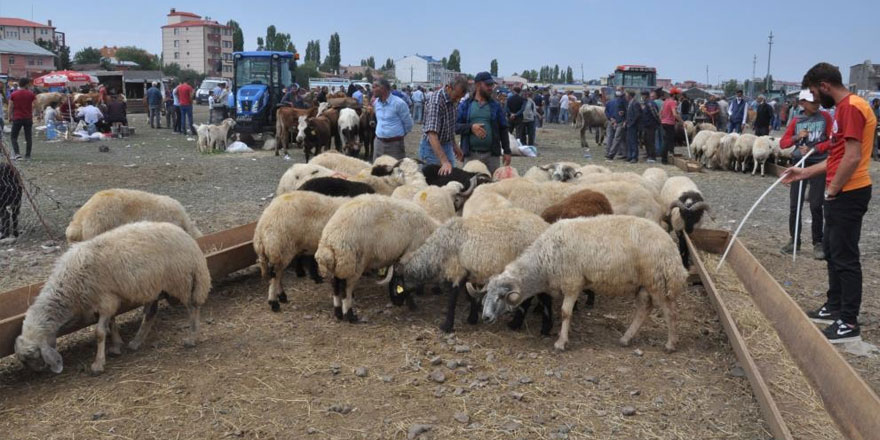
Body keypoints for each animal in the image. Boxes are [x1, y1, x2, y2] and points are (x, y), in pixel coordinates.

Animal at [16, 223, 212, 374]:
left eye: (32, 355)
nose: (38, 371)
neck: (70, 286)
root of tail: (189, 240)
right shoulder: (108, 299)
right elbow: (111, 323)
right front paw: (117, 346)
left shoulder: (105, 299)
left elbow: (100, 332)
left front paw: (98, 364)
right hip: (154, 285)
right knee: (151, 312)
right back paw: (136, 341)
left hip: (182, 280)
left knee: (192, 307)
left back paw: (191, 337)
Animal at [398, 210, 552, 334]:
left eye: (397, 282)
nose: (397, 302)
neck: (438, 250)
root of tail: (543, 226)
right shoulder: (471, 272)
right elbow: (472, 295)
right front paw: (472, 318)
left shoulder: (457, 270)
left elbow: (452, 299)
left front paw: (447, 326)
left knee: (540, 296)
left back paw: (530, 326)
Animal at [484, 215, 684, 352]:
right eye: (486, 295)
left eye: (500, 296)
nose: (485, 317)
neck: (543, 262)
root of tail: (670, 245)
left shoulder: (572, 282)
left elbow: (565, 313)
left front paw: (561, 342)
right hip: (643, 283)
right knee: (644, 308)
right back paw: (626, 338)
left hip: (657, 279)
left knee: (670, 311)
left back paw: (671, 343)